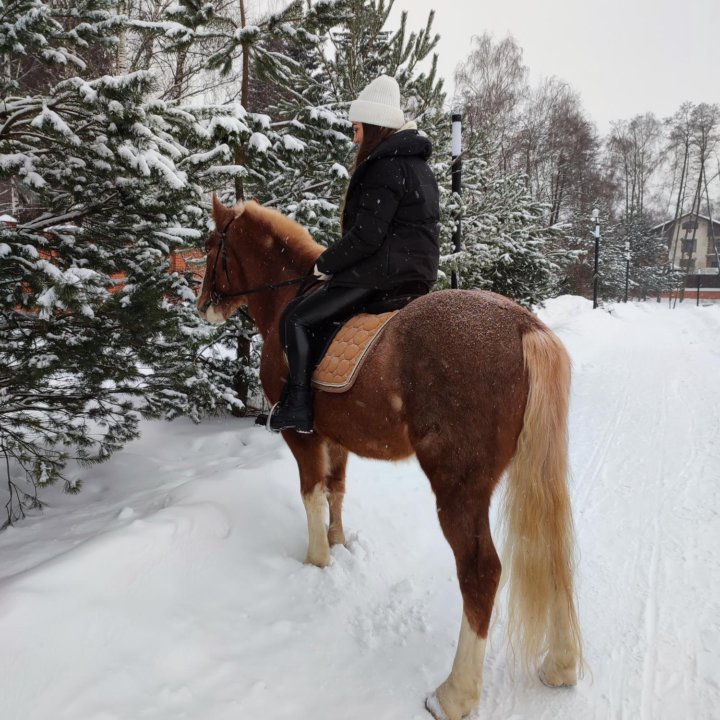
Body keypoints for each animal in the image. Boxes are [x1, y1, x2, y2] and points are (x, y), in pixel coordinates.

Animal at [198, 195, 584, 720]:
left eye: (211, 245)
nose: (203, 305)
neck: (286, 298)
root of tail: (525, 325)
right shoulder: (336, 437)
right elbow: (337, 489)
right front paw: (339, 542)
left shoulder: (302, 436)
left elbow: (310, 492)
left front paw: (317, 559)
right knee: (548, 550)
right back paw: (560, 665)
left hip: (458, 485)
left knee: (481, 572)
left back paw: (454, 694)